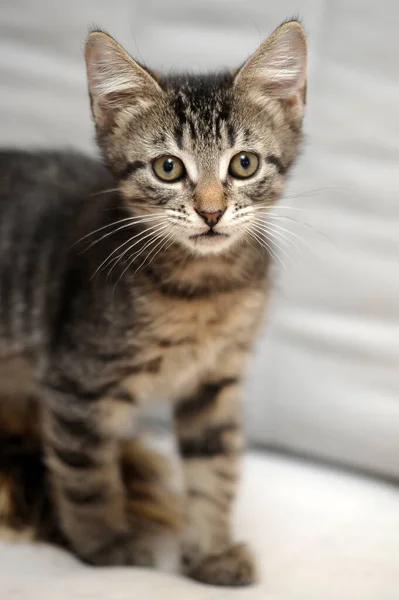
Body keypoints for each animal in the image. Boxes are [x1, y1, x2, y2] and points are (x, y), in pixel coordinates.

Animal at [0, 19, 308, 584]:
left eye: (244, 164)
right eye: (168, 168)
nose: (210, 212)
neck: (205, 287)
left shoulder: (215, 382)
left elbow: (216, 469)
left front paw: (210, 552)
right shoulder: (74, 383)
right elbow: (86, 477)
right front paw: (105, 547)